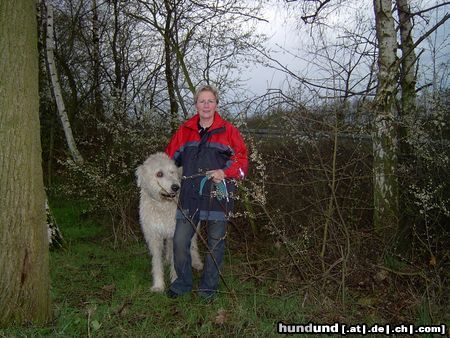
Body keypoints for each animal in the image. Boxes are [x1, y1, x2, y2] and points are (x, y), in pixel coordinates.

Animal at [135, 152, 202, 292]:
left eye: (172, 172)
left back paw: (196, 262)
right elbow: (156, 261)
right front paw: (158, 285)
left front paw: (175, 280)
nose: (176, 187)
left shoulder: (175, 235)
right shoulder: (154, 236)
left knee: (193, 244)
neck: (162, 205)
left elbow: (176, 260)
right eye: (159, 174)